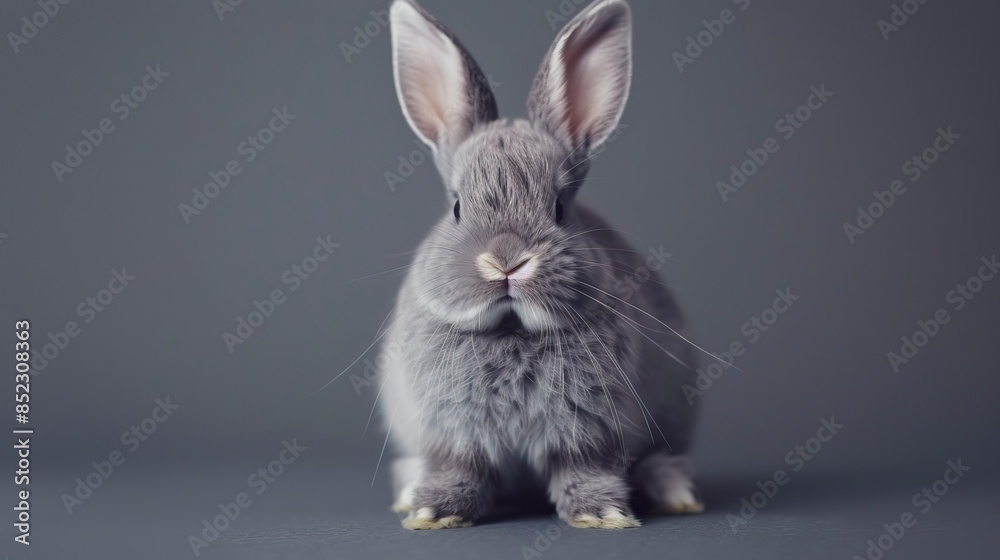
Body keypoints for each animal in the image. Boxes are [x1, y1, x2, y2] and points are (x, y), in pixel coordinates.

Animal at [378, 0, 704, 530]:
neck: (512, 329)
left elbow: (585, 468)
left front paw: (603, 515)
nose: (506, 263)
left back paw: (676, 496)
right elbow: (457, 467)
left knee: (663, 460)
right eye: (457, 207)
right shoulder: (451, 432)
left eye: (560, 207)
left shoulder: (589, 429)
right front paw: (431, 512)